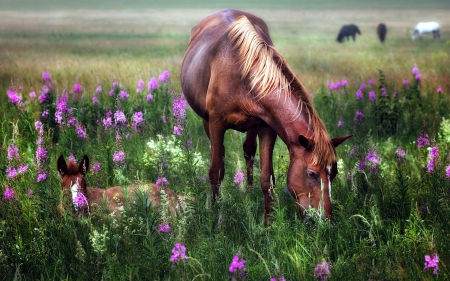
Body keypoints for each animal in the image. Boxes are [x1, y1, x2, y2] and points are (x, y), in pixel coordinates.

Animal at [181, 7, 354, 224]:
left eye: (335, 173)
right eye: (312, 174)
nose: (325, 220)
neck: (243, 72)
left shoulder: (267, 127)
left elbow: (267, 177)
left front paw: (268, 224)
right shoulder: (216, 123)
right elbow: (216, 170)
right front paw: (214, 213)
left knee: (248, 151)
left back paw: (248, 191)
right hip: (207, 120)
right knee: (219, 152)